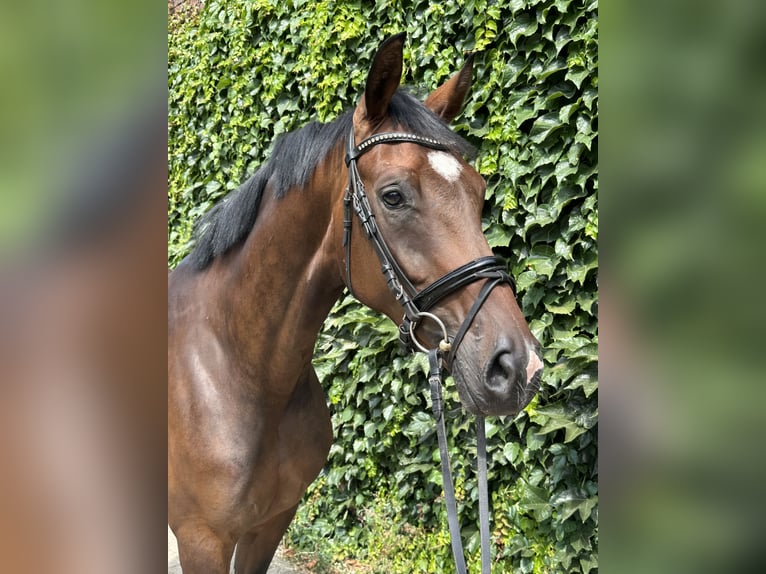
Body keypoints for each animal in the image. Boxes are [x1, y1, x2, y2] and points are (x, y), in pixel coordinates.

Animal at [168, 33, 542, 574]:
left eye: (478, 191)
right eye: (393, 196)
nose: (519, 367)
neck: (235, 369)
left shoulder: (270, 524)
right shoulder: (202, 539)